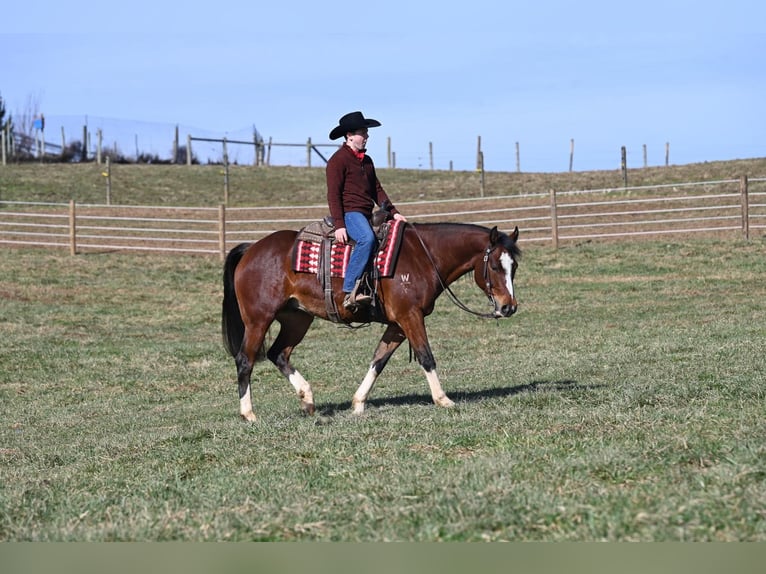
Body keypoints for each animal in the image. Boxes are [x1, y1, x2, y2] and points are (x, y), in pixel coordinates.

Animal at [222, 222, 520, 424]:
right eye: (495, 266)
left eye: (514, 267)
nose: (509, 307)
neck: (423, 257)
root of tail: (251, 249)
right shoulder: (409, 316)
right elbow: (426, 356)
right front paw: (443, 399)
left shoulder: (398, 324)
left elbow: (379, 359)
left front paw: (358, 403)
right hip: (258, 319)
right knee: (245, 360)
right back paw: (248, 413)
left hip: (297, 319)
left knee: (278, 354)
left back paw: (307, 399)